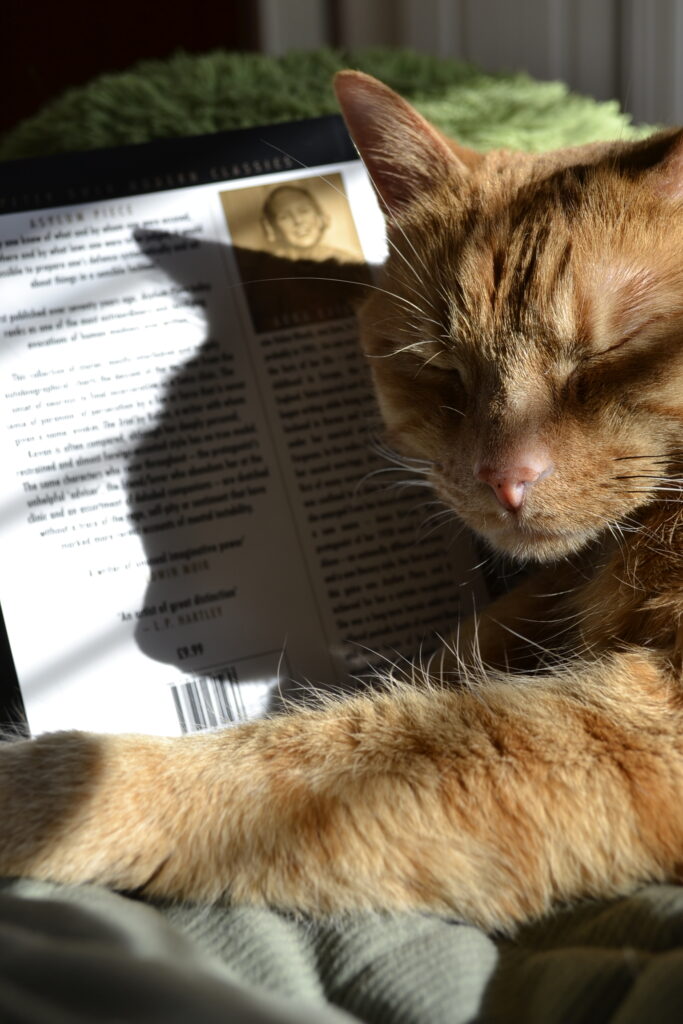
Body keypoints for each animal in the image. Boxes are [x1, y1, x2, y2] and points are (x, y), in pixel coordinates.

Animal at [1, 75, 683, 933]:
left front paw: (40, 788)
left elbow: (296, 755)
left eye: (610, 355)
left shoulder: (638, 726)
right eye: (438, 367)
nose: (505, 478)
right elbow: (459, 647)